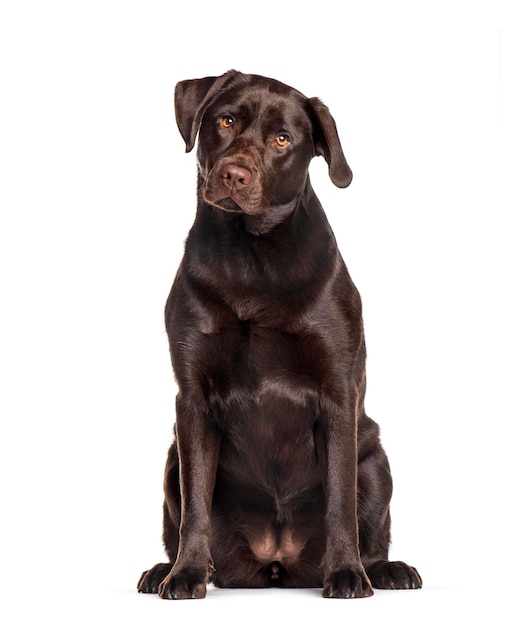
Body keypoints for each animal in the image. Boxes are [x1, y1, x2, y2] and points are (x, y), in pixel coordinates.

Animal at [136, 70, 422, 596]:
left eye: (282, 140)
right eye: (226, 121)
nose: (234, 175)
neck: (252, 256)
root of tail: (275, 559)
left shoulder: (337, 393)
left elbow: (340, 500)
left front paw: (346, 574)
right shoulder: (192, 399)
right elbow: (195, 507)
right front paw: (186, 574)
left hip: (375, 460)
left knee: (370, 525)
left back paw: (384, 569)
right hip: (170, 460)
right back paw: (165, 569)